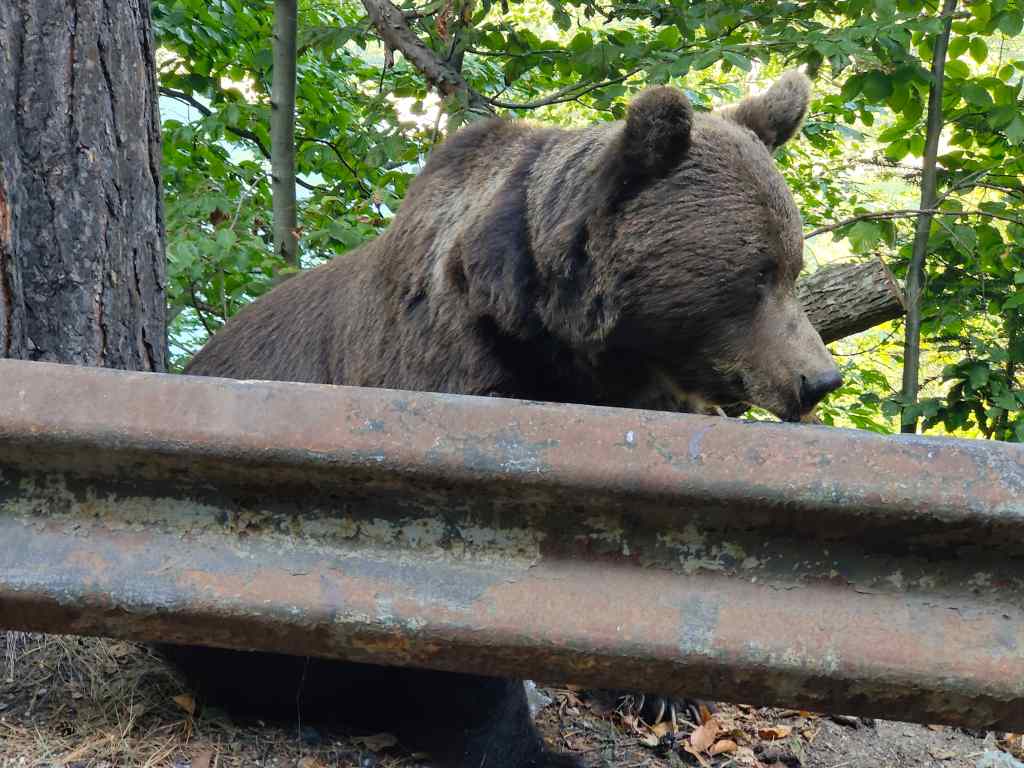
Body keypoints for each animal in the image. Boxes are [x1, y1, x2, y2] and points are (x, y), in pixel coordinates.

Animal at [168, 69, 841, 768]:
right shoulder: (452, 389)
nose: (819, 379)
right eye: (758, 274)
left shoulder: (634, 408)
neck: (558, 339)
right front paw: (530, 745)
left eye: (792, 266)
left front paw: (661, 692)